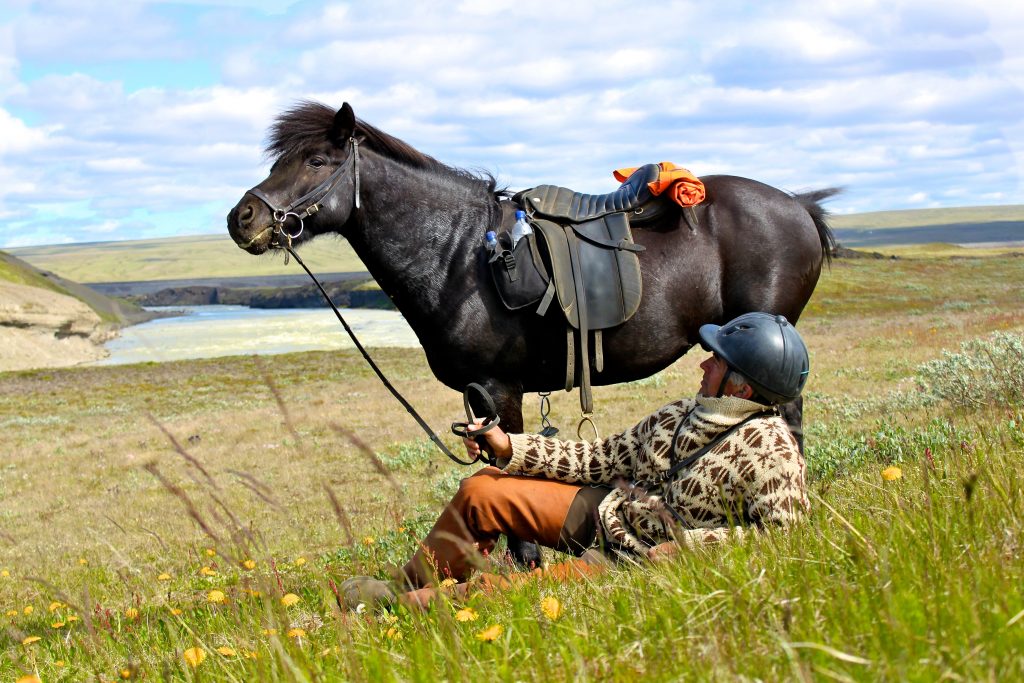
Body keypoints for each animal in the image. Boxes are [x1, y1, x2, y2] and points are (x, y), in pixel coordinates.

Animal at [230, 101, 839, 557]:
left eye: (315, 160)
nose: (241, 219)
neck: (456, 256)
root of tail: (798, 206)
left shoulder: (500, 390)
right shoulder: (478, 400)